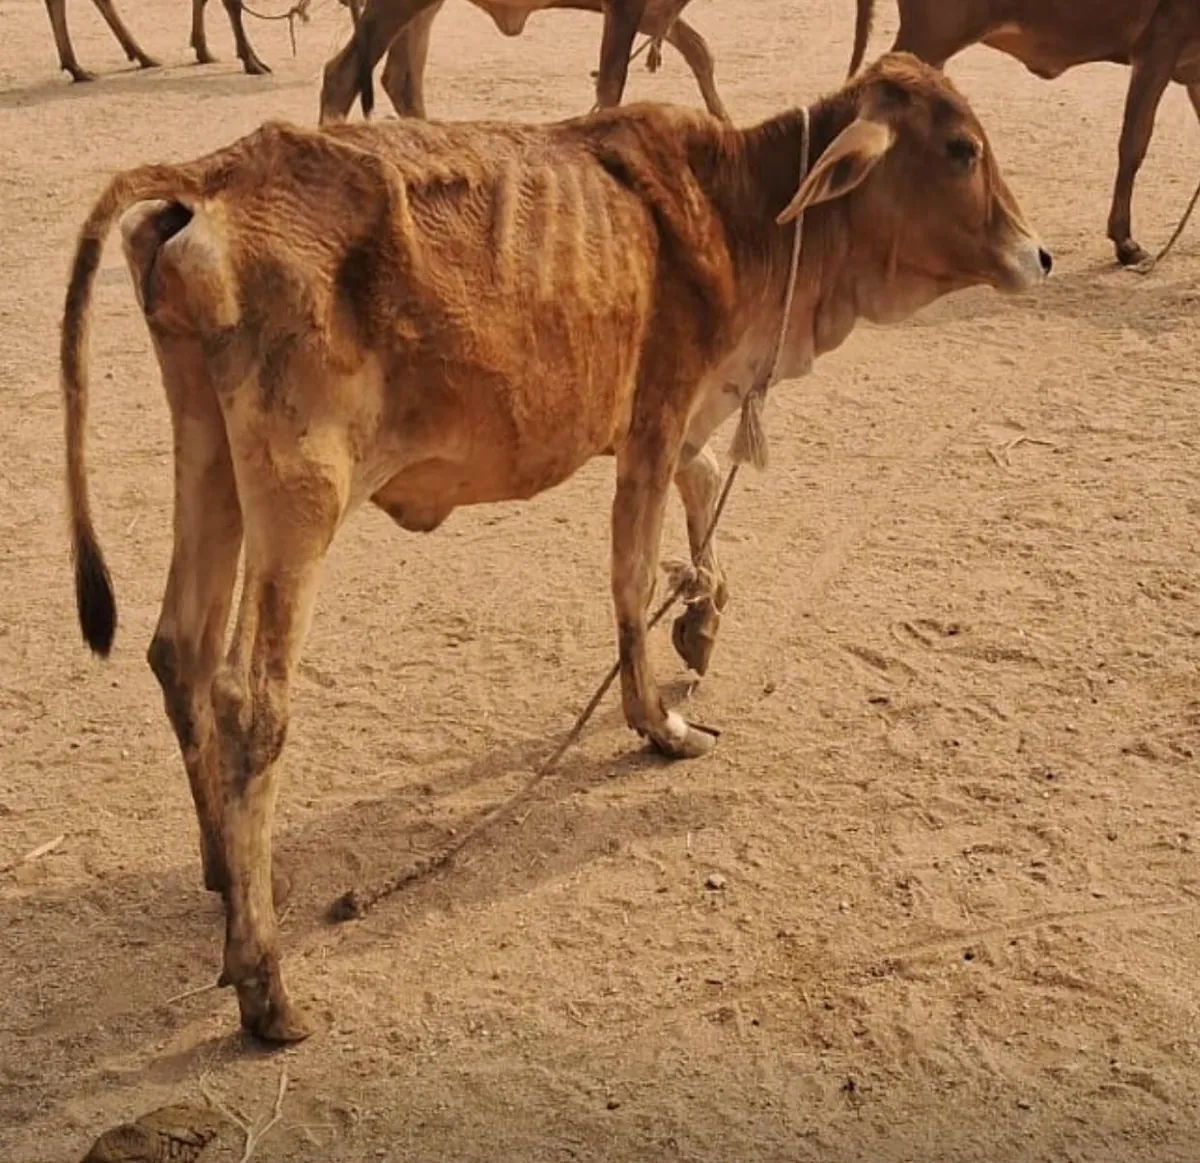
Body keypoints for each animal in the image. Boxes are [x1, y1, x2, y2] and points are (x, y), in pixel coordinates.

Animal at [60, 52, 1050, 1042]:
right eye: (962, 149)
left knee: (179, 651)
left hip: (207, 450)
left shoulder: (681, 422)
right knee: (248, 700)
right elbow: (633, 575)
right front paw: (659, 721)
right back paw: (264, 981)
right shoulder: (654, 418)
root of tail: (213, 175)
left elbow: (702, 505)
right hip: (302, 491)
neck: (738, 205)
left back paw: (226, 872)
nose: (1037, 254)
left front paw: (701, 625)